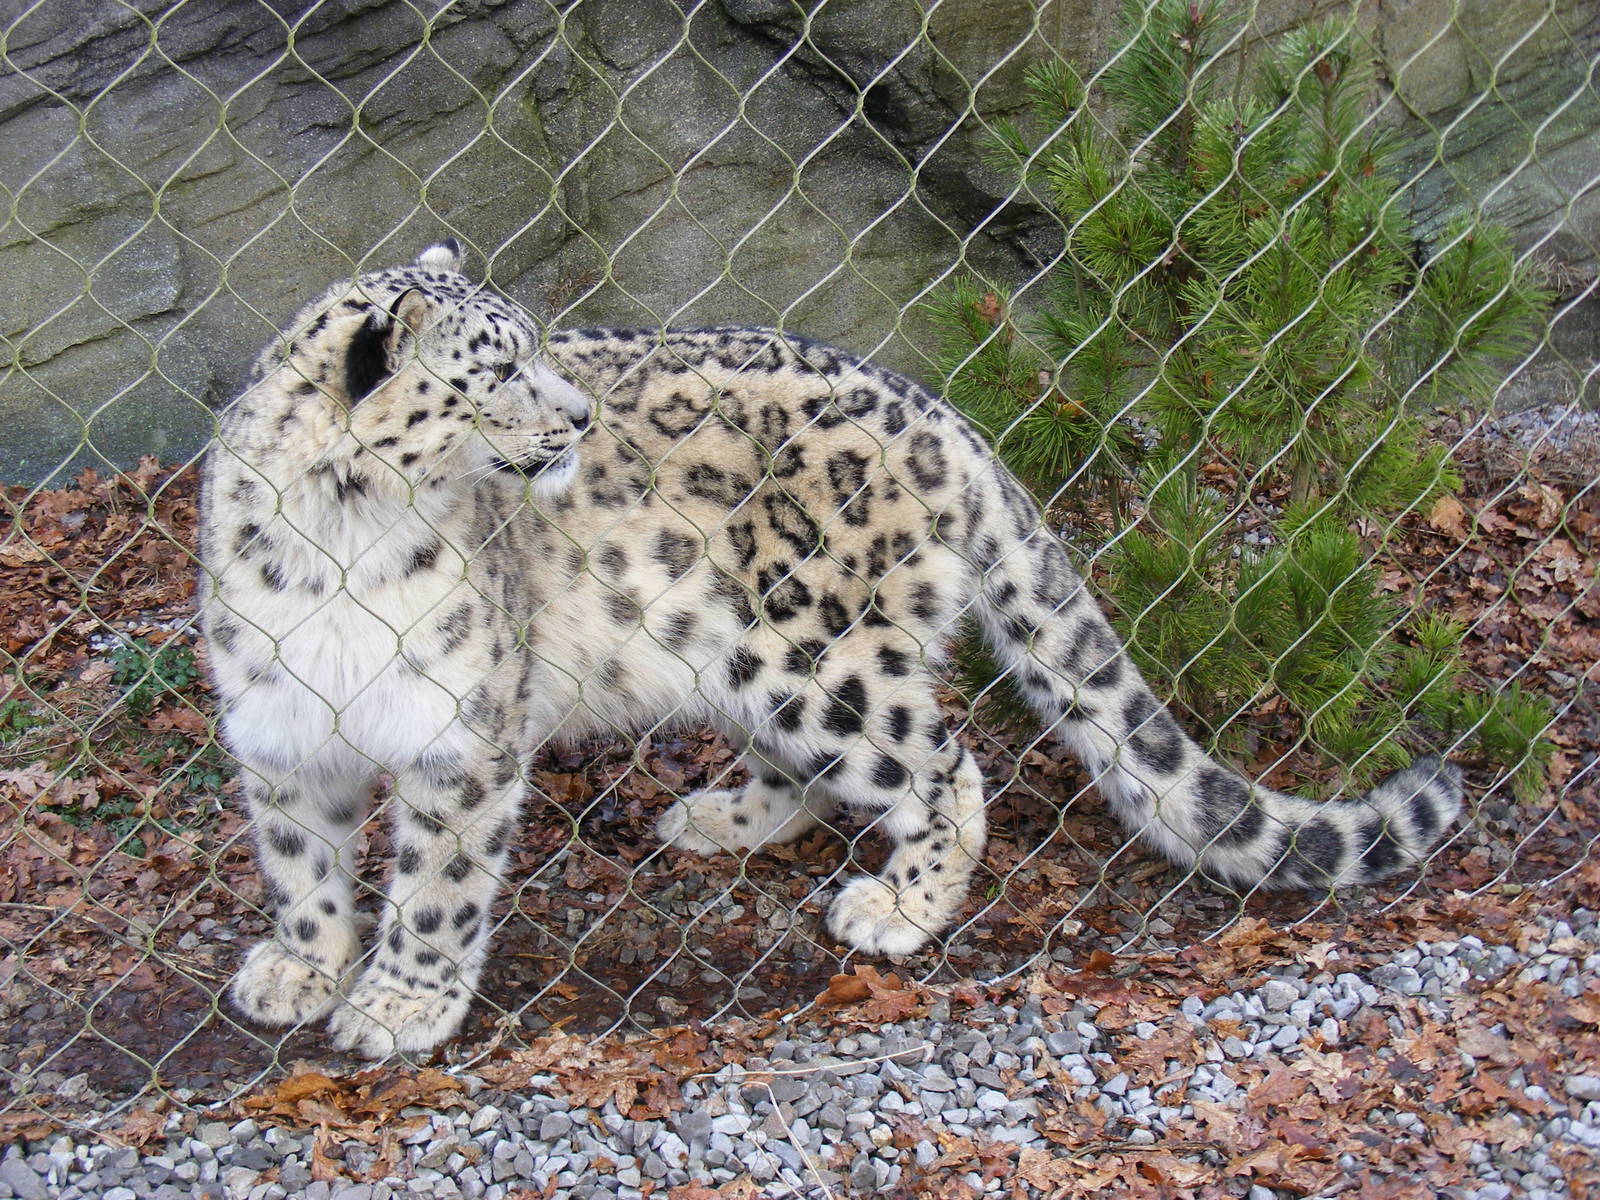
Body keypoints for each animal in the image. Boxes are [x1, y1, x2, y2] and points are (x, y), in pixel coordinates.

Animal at [199, 242, 1463, 1058]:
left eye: (533, 353)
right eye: (499, 371)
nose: (576, 420)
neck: (341, 544)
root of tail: (943, 416)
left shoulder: (459, 731)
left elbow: (438, 886)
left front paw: (397, 1006)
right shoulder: (277, 724)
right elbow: (300, 861)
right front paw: (300, 967)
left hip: (819, 649)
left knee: (944, 763)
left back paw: (899, 908)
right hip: (742, 654)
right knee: (813, 765)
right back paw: (719, 817)